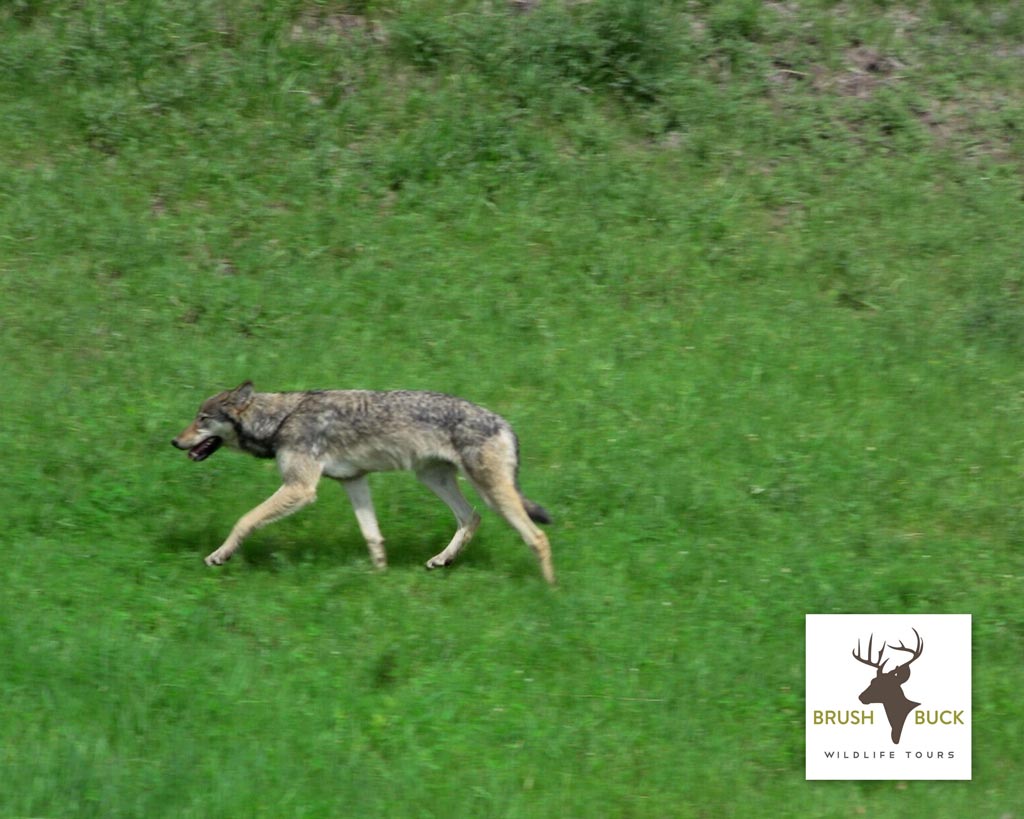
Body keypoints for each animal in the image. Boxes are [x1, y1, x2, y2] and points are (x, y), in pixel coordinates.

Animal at [172, 382, 555, 583]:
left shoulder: (300, 489)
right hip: (434, 479)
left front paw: (219, 556)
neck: (280, 420)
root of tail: (505, 423)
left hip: (490, 493)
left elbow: (245, 520)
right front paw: (381, 577)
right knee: (470, 517)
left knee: (537, 537)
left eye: (202, 419)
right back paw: (441, 560)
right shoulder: (353, 481)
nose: (175, 442)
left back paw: (549, 590)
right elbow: (373, 536)